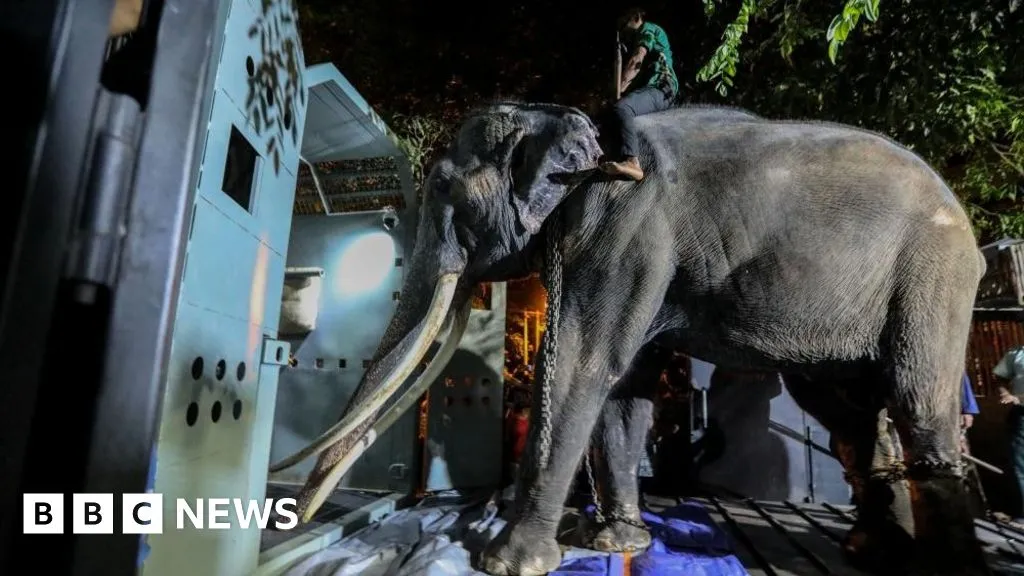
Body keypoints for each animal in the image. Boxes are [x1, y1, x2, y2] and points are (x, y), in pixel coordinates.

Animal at [272, 103, 991, 573]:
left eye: (446, 189)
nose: (295, 517)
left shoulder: (622, 225)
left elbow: (586, 363)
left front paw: (510, 561)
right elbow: (625, 387)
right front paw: (614, 544)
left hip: (934, 269)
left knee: (916, 398)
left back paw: (943, 567)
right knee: (847, 414)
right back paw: (871, 549)